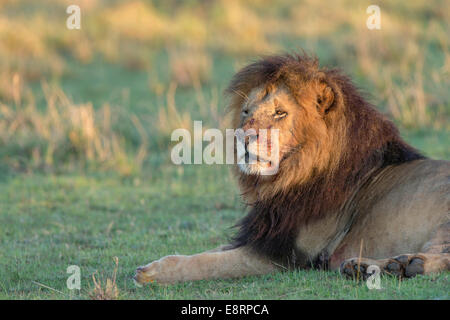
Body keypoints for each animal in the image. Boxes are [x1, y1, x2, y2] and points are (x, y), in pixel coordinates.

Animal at [134, 53, 450, 284]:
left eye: (280, 113)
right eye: (246, 112)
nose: (242, 138)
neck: (287, 178)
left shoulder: (283, 255)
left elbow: (207, 263)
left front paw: (152, 274)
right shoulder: (263, 236)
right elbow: (210, 251)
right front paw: (150, 264)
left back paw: (404, 265)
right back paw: (373, 267)